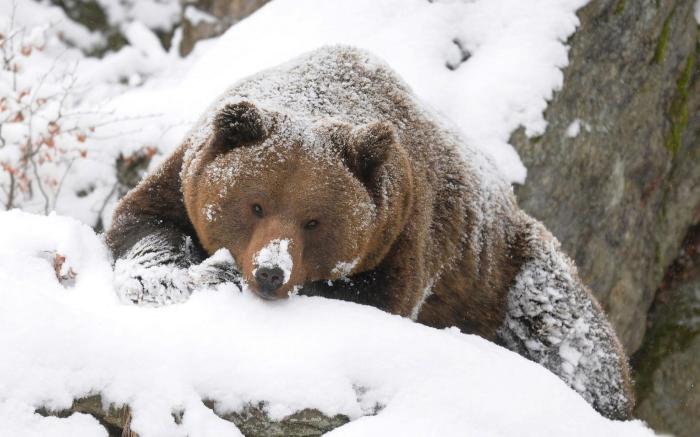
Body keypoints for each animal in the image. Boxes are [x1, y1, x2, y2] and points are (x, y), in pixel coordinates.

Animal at [108, 44, 636, 418]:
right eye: (255, 204)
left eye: (314, 220)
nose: (270, 272)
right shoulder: (184, 175)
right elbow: (143, 221)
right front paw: (158, 278)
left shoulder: (404, 232)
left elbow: (372, 298)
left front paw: (218, 274)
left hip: (508, 273)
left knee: (571, 338)